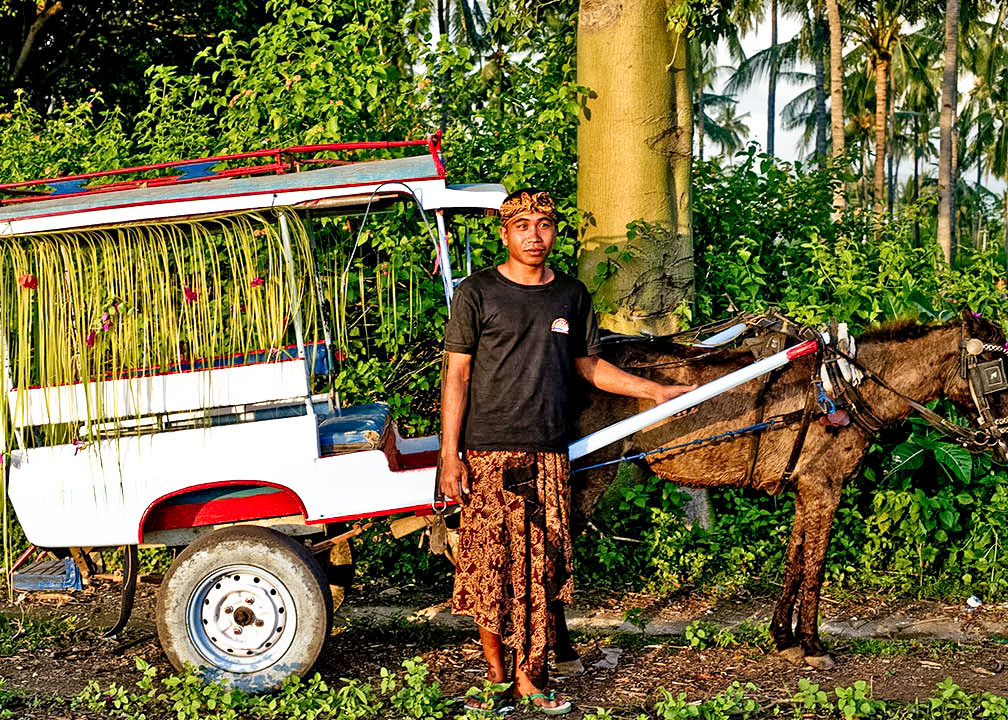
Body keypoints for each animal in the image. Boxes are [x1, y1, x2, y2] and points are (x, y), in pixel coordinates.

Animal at [564, 310, 1003, 669]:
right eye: (994, 373)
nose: (1004, 443)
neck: (841, 386)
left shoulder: (805, 487)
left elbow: (794, 559)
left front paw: (784, 638)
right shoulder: (824, 487)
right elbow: (815, 566)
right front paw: (813, 645)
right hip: (588, 471)